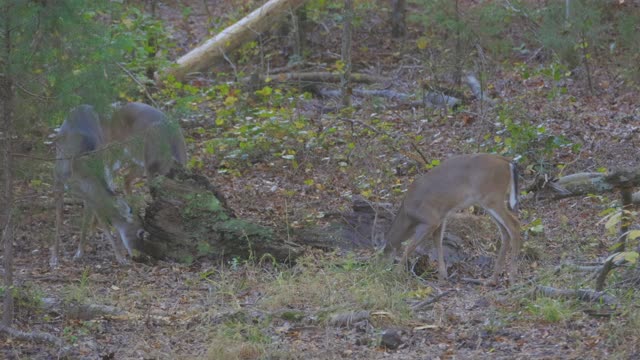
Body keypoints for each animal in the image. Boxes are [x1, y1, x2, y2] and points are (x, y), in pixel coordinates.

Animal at [384, 153, 520, 286]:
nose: (383, 270)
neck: (408, 216)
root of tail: (507, 161)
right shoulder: (441, 218)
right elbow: (437, 242)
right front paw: (442, 278)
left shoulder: (430, 220)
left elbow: (410, 246)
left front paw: (396, 274)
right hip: (488, 201)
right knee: (505, 232)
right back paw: (491, 280)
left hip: (492, 197)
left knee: (514, 224)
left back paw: (512, 280)